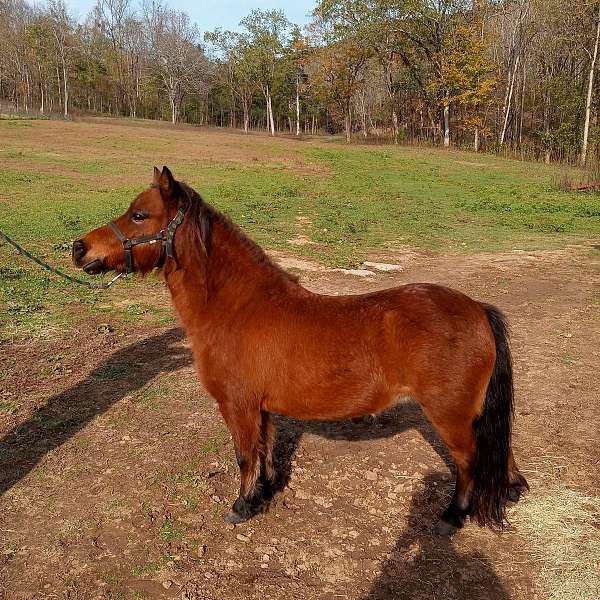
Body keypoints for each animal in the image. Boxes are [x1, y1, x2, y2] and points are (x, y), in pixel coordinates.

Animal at [72, 165, 528, 536]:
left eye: (139, 215)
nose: (79, 248)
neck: (237, 307)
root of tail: (476, 309)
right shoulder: (261, 408)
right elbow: (265, 450)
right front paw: (265, 492)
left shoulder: (238, 405)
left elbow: (244, 455)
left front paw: (241, 506)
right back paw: (511, 490)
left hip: (449, 415)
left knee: (469, 460)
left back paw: (452, 517)